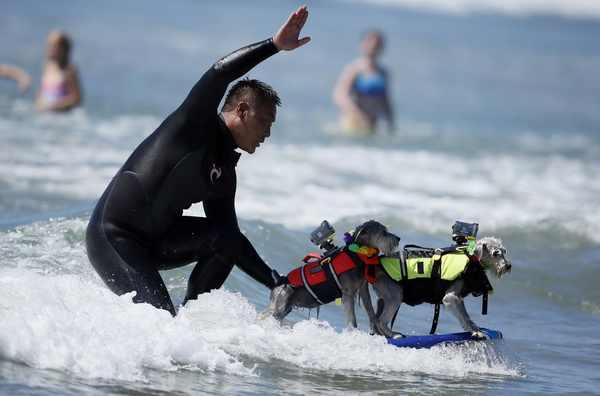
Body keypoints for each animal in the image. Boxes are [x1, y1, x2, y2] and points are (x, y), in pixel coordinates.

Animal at [260, 220, 400, 328]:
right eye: (383, 232)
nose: (398, 238)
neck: (355, 255)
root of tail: (280, 280)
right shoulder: (348, 293)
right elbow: (352, 318)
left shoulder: (362, 288)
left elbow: (370, 310)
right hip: (280, 306)